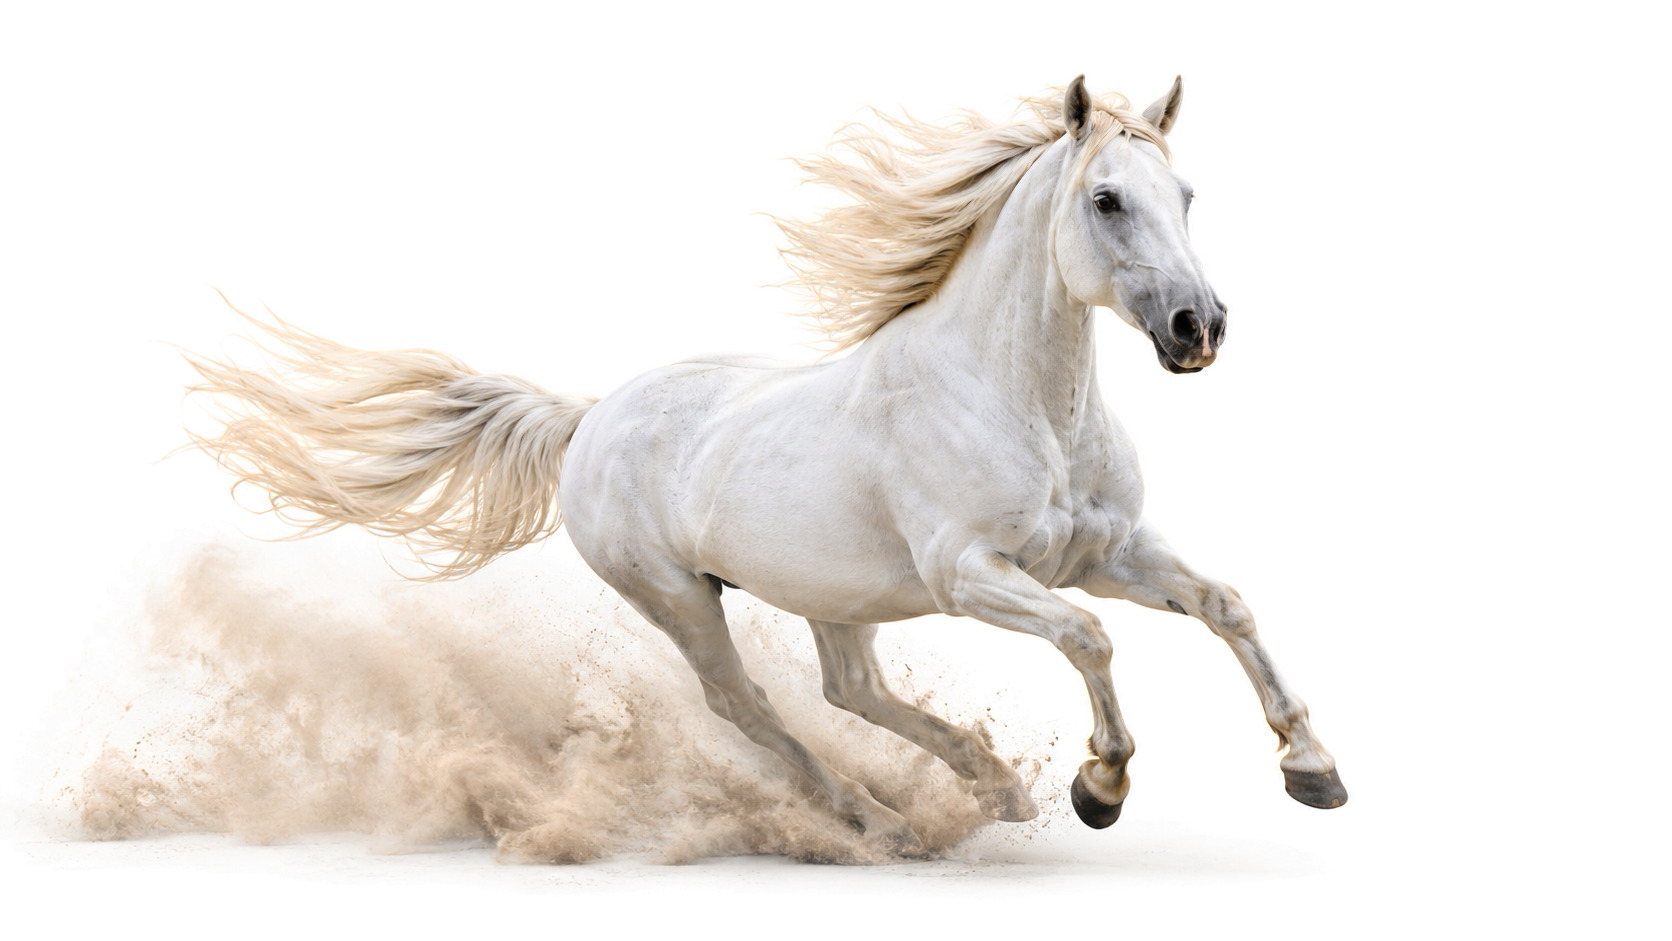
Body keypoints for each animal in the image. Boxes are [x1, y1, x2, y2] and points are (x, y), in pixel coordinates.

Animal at [186, 76, 1347, 855]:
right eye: (1106, 199)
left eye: (1185, 193)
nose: (1198, 327)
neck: (1023, 404)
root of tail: (590, 419)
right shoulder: (973, 574)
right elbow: (1091, 638)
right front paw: (1099, 786)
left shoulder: (1109, 551)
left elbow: (1226, 603)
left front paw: (1314, 769)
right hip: (680, 598)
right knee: (748, 707)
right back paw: (873, 820)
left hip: (836, 592)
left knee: (850, 688)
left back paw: (988, 789)